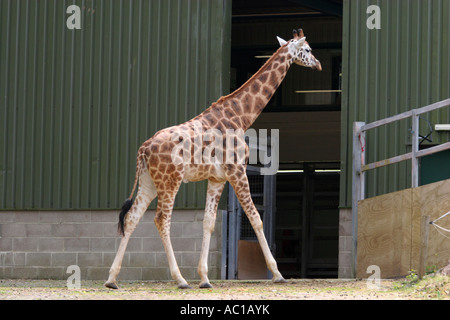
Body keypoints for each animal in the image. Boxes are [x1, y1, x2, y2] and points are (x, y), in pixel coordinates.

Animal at [104, 28, 324, 290]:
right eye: (308, 49)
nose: (319, 65)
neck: (241, 115)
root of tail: (144, 148)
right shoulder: (238, 171)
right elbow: (256, 218)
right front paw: (278, 273)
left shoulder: (217, 178)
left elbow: (208, 222)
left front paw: (205, 278)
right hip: (170, 181)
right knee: (161, 219)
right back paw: (180, 279)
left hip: (149, 182)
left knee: (132, 218)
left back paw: (112, 279)